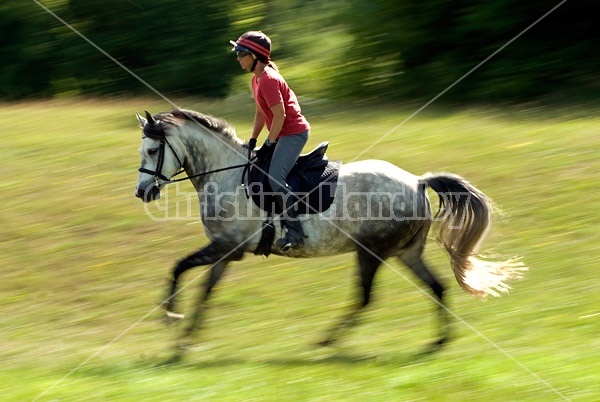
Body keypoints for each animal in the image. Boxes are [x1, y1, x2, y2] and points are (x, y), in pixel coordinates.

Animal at [135, 109, 524, 348]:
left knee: (366, 297)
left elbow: (180, 268)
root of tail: (416, 181)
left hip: (372, 251)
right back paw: (439, 341)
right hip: (406, 251)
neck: (226, 174)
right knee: (437, 287)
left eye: (153, 150)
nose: (142, 192)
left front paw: (171, 316)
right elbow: (204, 292)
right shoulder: (226, 251)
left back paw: (327, 340)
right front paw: (184, 338)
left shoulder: (224, 247)